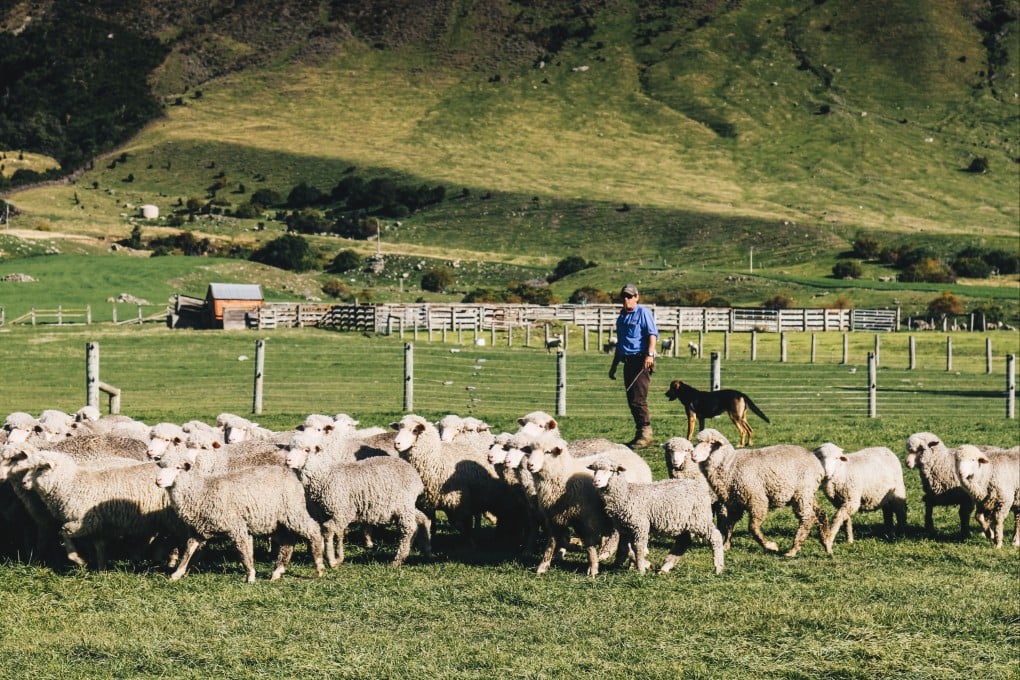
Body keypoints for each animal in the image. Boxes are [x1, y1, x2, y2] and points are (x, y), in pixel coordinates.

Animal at [12, 449, 185, 569]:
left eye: (40, 469)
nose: (23, 483)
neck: (71, 484)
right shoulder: (97, 524)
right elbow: (99, 545)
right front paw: (101, 568)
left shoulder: (85, 522)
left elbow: (63, 532)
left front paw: (78, 560)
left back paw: (170, 562)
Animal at [155, 449, 325, 583]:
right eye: (161, 466)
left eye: (177, 468)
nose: (158, 480)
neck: (202, 490)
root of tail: (291, 474)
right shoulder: (198, 530)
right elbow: (188, 551)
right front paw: (177, 573)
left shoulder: (236, 526)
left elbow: (243, 552)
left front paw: (250, 575)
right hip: (278, 520)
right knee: (287, 542)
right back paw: (277, 571)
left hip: (294, 511)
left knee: (314, 530)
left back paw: (319, 565)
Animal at [285, 438, 431, 567]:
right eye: (290, 448)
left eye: (307, 450)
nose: (287, 460)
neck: (325, 475)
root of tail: (414, 474)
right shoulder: (324, 514)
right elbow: (327, 531)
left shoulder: (342, 512)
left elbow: (328, 529)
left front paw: (333, 560)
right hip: (404, 506)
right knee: (422, 519)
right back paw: (426, 550)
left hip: (403, 506)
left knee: (409, 528)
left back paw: (398, 559)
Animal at [588, 459, 724, 574]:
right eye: (594, 470)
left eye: (611, 470)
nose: (596, 482)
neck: (626, 494)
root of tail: (699, 486)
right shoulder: (624, 529)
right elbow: (624, 548)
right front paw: (630, 564)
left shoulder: (640, 525)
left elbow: (638, 547)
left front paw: (641, 569)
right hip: (684, 521)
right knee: (683, 541)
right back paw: (665, 567)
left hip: (699, 518)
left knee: (715, 536)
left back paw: (718, 567)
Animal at [691, 428, 827, 556]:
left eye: (711, 443)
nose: (693, 455)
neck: (731, 464)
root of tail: (815, 460)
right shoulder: (734, 504)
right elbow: (729, 525)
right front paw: (726, 545)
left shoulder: (757, 499)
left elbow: (753, 528)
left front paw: (770, 546)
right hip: (808, 493)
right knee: (820, 513)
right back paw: (826, 542)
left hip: (803, 492)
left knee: (807, 518)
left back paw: (793, 549)